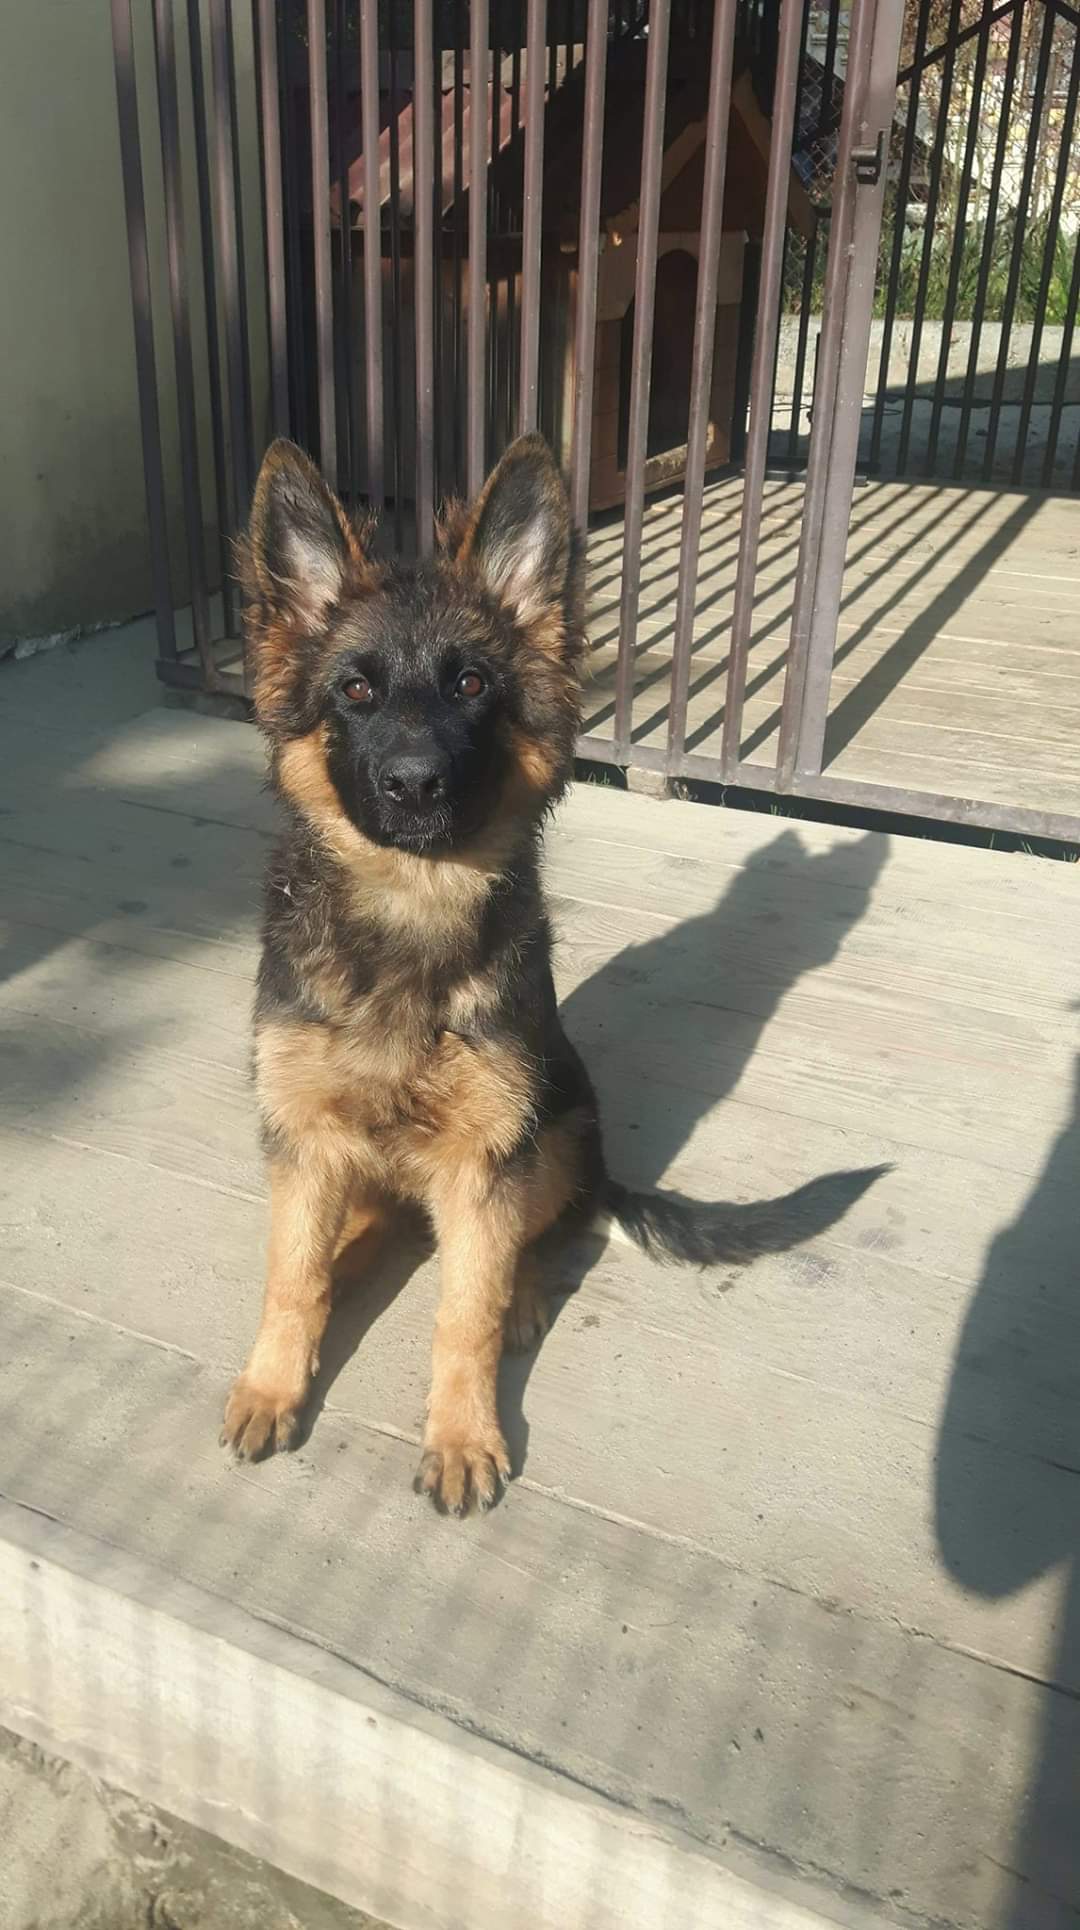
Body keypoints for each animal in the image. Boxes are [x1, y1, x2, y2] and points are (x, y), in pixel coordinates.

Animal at [221, 433, 884, 1514]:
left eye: (471, 687)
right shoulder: (306, 1140)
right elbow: (291, 1276)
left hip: (559, 1129)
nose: (414, 787)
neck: (410, 914)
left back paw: (524, 1288)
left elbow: (466, 1310)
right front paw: (275, 1382)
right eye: (355, 691)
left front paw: (461, 1432)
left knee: (548, 1232)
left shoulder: (491, 1155)